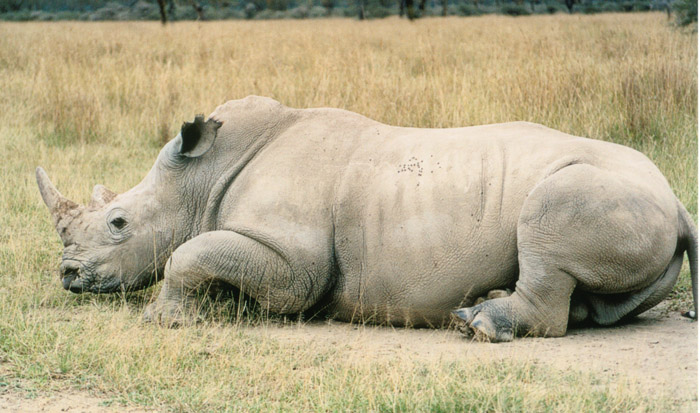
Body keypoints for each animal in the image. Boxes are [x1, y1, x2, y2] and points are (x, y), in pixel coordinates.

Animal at [36, 96, 698, 342]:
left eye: (118, 223)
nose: (68, 275)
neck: (201, 180)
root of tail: (676, 201)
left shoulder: (293, 265)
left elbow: (189, 252)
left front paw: (165, 320)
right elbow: (202, 254)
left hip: (593, 191)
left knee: (548, 221)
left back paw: (477, 323)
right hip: (636, 202)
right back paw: (484, 305)